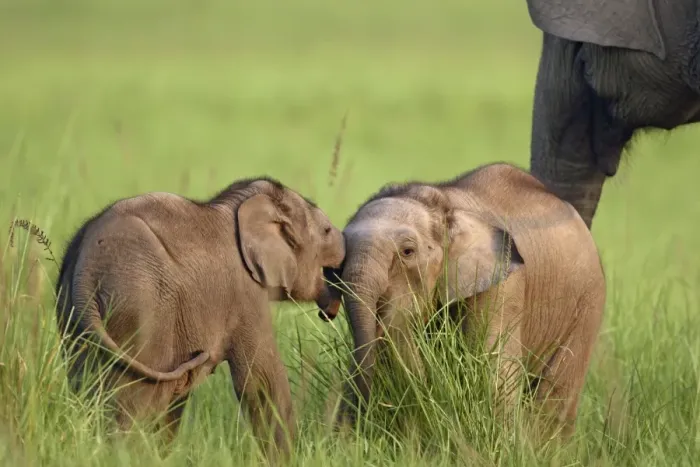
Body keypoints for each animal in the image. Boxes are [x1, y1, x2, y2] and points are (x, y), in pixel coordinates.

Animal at [54, 176, 345, 456]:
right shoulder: (244, 292)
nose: (328, 312)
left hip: (75, 315)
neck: (239, 202)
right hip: (141, 308)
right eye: (326, 231)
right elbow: (261, 380)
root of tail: (87, 266)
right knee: (134, 401)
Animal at [318, 162, 606, 437]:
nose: (343, 430)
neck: (443, 205)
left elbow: (495, 371)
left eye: (408, 252)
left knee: (554, 395)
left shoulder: (504, 286)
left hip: (588, 302)